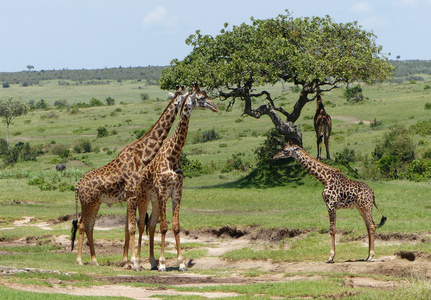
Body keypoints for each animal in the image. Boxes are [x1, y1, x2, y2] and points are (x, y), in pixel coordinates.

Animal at [70, 85, 186, 266]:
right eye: (183, 95)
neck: (142, 154)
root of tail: (77, 186)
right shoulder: (132, 195)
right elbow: (132, 226)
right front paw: (133, 261)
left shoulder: (129, 197)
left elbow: (127, 227)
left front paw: (126, 261)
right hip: (88, 202)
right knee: (82, 224)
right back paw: (80, 260)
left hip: (96, 203)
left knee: (89, 226)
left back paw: (95, 260)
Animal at [131, 82, 219, 272]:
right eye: (201, 97)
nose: (215, 107)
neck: (173, 155)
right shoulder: (164, 192)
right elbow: (164, 227)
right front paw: (164, 264)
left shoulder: (177, 192)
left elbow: (176, 226)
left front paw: (181, 263)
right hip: (144, 196)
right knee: (141, 224)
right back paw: (137, 263)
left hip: (155, 200)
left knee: (150, 224)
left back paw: (152, 262)